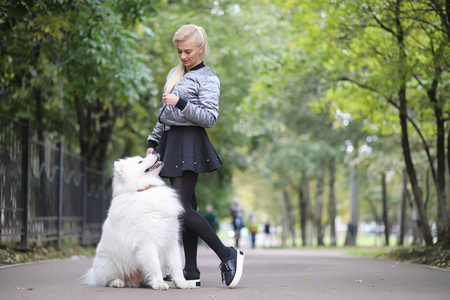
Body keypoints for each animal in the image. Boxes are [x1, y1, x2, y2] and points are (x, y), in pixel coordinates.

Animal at [83, 151, 191, 290]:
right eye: (140, 161)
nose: (154, 151)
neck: (143, 189)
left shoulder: (171, 240)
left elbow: (176, 264)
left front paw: (182, 283)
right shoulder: (147, 243)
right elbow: (155, 266)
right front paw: (160, 283)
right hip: (110, 264)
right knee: (107, 280)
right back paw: (117, 282)